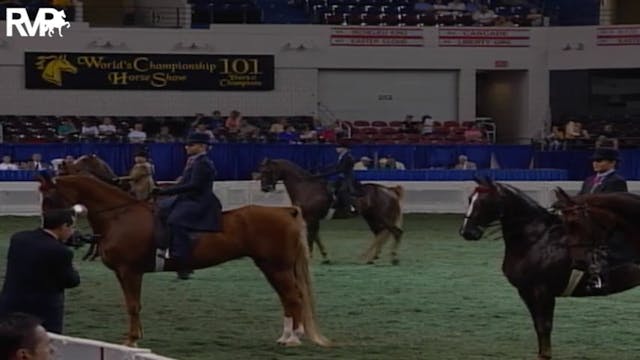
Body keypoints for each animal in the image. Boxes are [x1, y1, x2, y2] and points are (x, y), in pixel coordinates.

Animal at [38, 173, 330, 348]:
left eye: (50, 196)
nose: (47, 225)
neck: (120, 216)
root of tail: (286, 211)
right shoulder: (126, 273)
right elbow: (133, 305)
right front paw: (136, 336)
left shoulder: (129, 271)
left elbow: (133, 305)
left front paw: (131, 341)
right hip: (272, 266)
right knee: (289, 298)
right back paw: (289, 335)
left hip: (276, 266)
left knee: (292, 297)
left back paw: (291, 339)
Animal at [258, 158, 402, 264]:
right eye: (261, 170)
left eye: (267, 170)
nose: (265, 188)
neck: (306, 188)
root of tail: (389, 191)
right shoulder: (311, 219)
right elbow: (316, 237)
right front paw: (325, 257)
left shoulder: (311, 218)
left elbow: (311, 237)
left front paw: (310, 258)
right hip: (372, 218)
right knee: (381, 234)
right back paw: (372, 258)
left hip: (382, 217)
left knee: (395, 232)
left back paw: (393, 258)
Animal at [458, 176, 640, 358]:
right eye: (470, 199)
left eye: (486, 202)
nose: (467, 232)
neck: (537, 240)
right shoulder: (526, 292)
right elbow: (538, 327)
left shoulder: (543, 292)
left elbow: (544, 327)